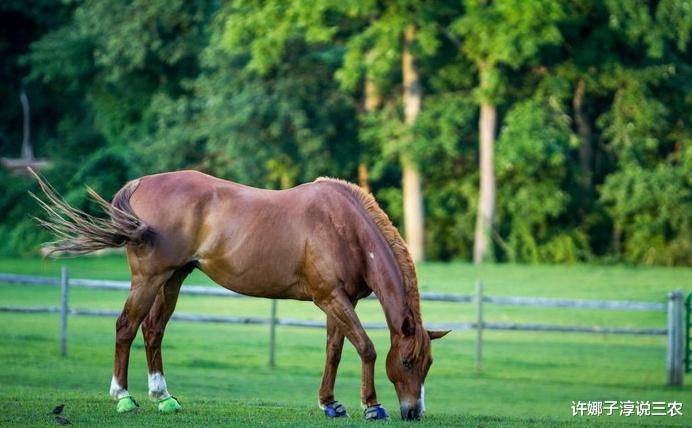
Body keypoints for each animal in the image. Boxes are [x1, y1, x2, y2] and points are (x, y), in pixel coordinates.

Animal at [32, 169, 449, 420]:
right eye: (407, 362)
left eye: (429, 364)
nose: (414, 412)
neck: (345, 227)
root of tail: (141, 183)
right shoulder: (331, 298)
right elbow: (366, 347)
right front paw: (372, 407)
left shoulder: (338, 301)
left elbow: (334, 351)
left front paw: (330, 404)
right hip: (149, 279)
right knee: (126, 326)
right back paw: (123, 397)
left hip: (173, 278)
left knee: (153, 331)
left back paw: (163, 396)